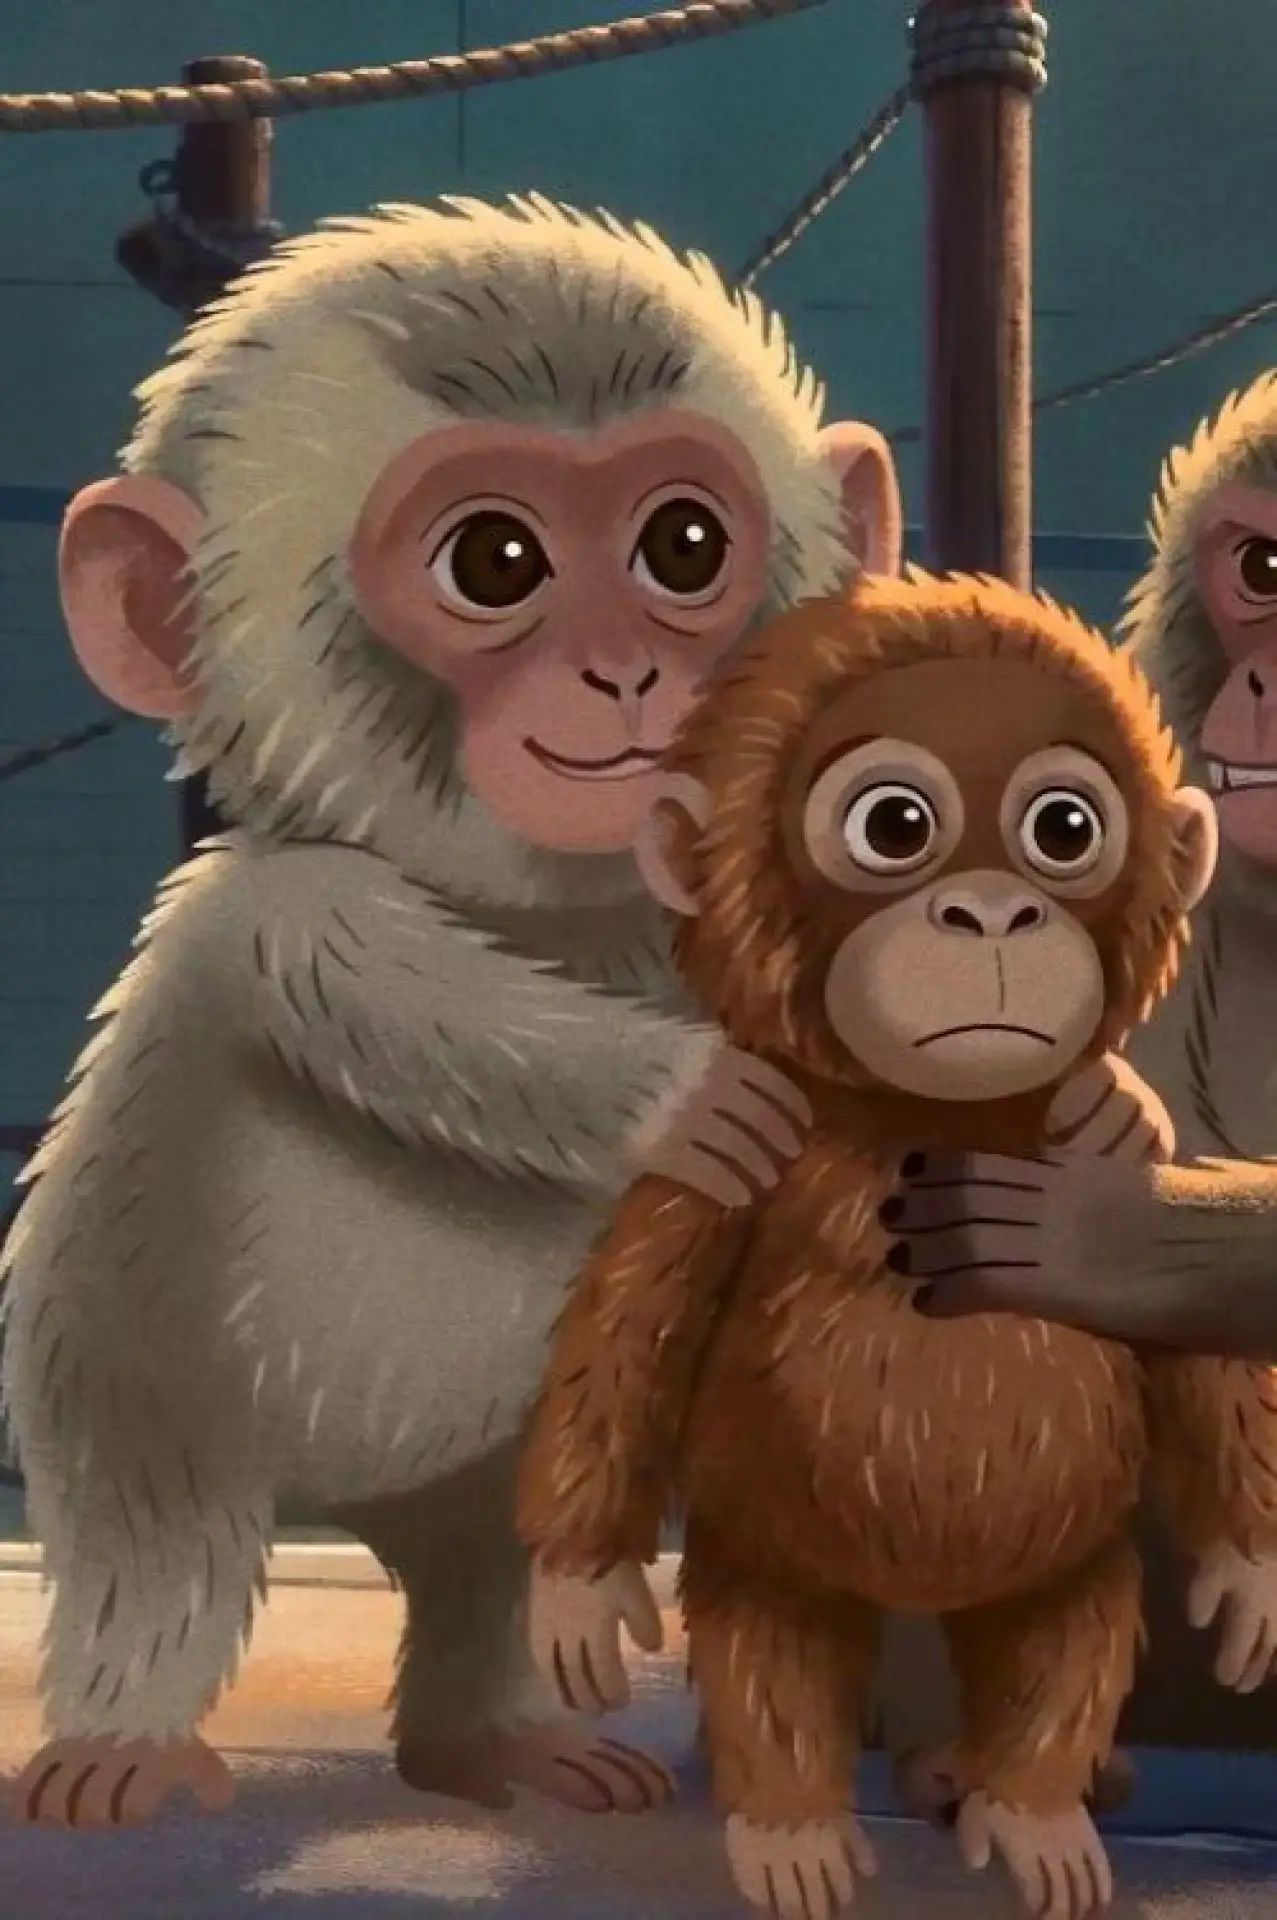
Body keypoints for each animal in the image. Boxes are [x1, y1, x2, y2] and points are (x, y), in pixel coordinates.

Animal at [0, 194, 905, 1829]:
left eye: (683, 545)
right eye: (496, 562)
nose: (625, 670)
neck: (570, 916)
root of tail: (339, 1508)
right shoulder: (268, 913)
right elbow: (373, 987)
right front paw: (698, 1097)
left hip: (482, 1462)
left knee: (489, 1559)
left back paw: (497, 1737)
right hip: (131, 1382)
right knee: (154, 1548)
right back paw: (127, 1738)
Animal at [513, 571, 1254, 1920]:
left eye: (1063, 827)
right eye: (893, 825)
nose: (990, 910)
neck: (927, 1114)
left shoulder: (1117, 1185)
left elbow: (1185, 1328)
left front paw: (1245, 1578)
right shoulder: (731, 1163)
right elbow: (631, 1328)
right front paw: (579, 1595)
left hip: (1057, 1571)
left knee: (1065, 1644)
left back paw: (1030, 1812)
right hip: (773, 1560)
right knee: (770, 1654)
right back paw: (794, 1834)